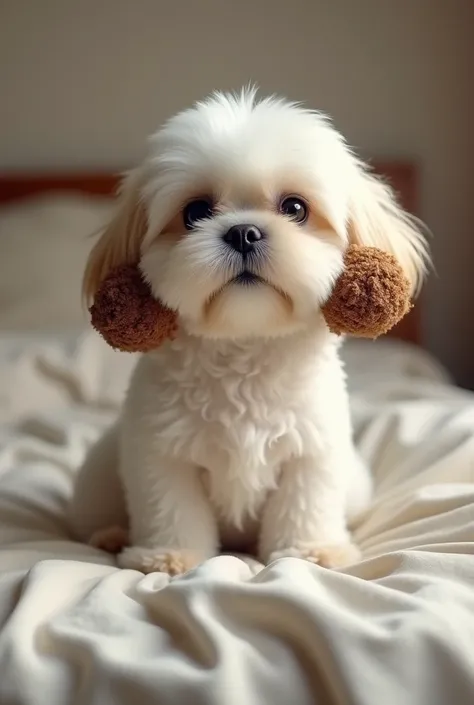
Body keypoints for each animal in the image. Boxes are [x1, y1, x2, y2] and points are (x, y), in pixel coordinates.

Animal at [69, 88, 430, 576]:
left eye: (295, 208)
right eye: (196, 212)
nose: (243, 232)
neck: (245, 346)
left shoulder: (311, 451)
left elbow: (305, 503)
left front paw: (312, 551)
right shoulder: (160, 453)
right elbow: (170, 507)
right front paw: (168, 556)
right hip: (96, 479)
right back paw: (111, 535)